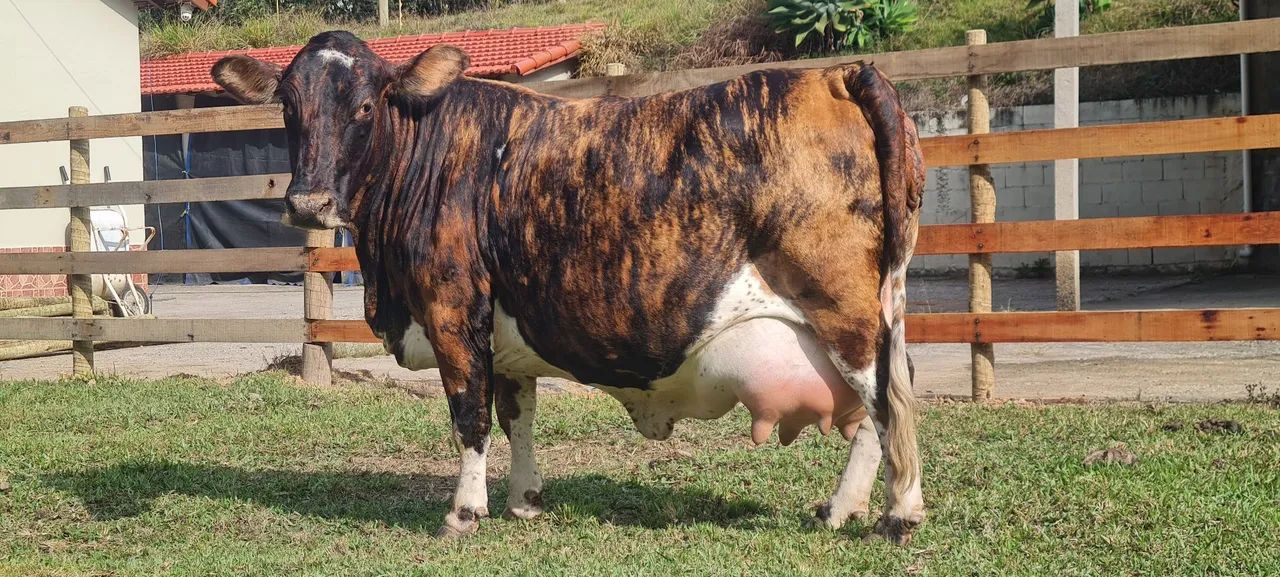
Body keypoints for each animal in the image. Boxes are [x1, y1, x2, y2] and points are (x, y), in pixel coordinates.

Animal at [211, 31, 926, 544]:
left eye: (364, 106)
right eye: (287, 106)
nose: (307, 202)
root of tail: (836, 73)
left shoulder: (452, 310)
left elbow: (469, 415)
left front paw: (464, 513)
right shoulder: (506, 333)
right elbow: (516, 414)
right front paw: (524, 500)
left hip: (843, 311)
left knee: (887, 401)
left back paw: (898, 514)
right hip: (873, 309)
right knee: (890, 394)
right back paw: (843, 509)